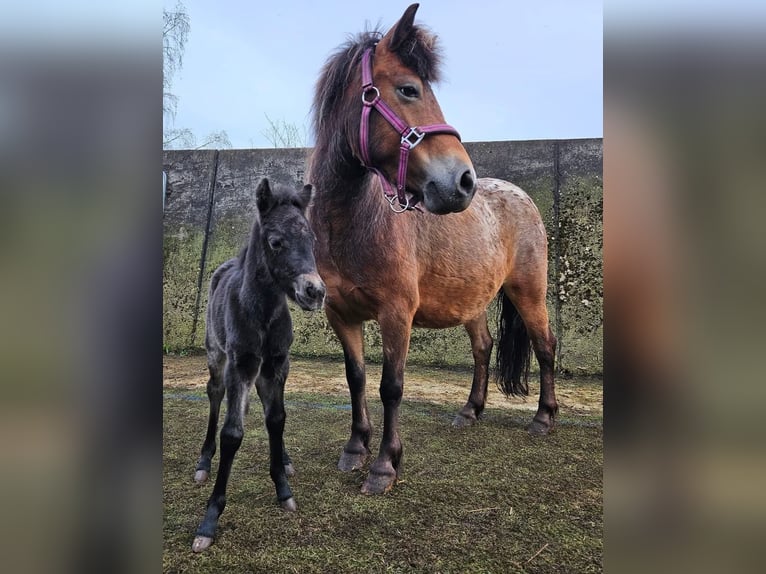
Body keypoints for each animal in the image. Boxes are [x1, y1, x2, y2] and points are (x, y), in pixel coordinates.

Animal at [194, 179, 326, 552]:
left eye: (312, 240)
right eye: (276, 242)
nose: (315, 291)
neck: (263, 314)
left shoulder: (276, 364)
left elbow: (277, 419)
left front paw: (283, 487)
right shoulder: (240, 364)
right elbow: (231, 433)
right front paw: (209, 520)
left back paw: (286, 459)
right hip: (216, 355)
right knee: (215, 394)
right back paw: (204, 462)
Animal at [308, 3, 560, 496]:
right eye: (408, 89)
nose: (462, 181)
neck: (353, 223)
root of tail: (520, 196)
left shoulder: (396, 312)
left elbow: (391, 386)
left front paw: (384, 465)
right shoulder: (340, 313)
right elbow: (356, 378)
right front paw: (355, 447)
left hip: (528, 292)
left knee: (545, 344)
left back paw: (544, 418)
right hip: (474, 299)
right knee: (483, 346)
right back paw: (470, 411)